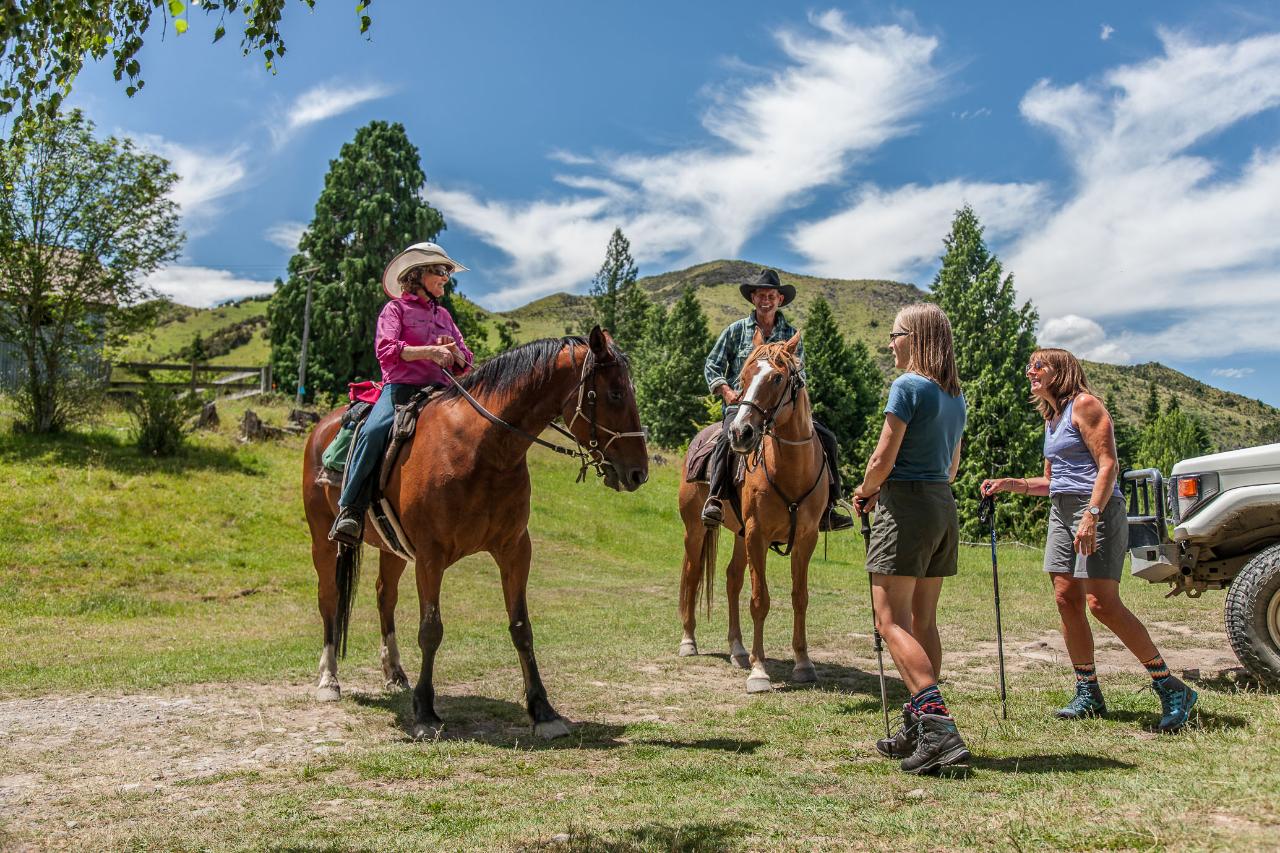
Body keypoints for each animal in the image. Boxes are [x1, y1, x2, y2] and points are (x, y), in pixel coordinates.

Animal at [302, 326, 650, 737]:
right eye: (615, 393)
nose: (639, 473)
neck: (480, 448)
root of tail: (323, 426)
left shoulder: (514, 549)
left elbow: (521, 627)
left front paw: (543, 711)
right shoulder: (431, 556)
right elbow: (431, 630)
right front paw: (425, 713)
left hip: (392, 547)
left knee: (385, 596)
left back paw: (395, 673)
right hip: (322, 539)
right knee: (329, 598)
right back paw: (329, 680)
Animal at [675, 333, 824, 691]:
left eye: (778, 378)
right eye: (742, 379)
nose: (741, 433)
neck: (791, 470)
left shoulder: (806, 538)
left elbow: (800, 597)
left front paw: (803, 663)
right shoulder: (758, 535)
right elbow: (760, 600)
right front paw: (759, 672)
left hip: (740, 534)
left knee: (732, 579)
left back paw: (738, 650)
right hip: (696, 529)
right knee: (692, 575)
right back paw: (689, 641)